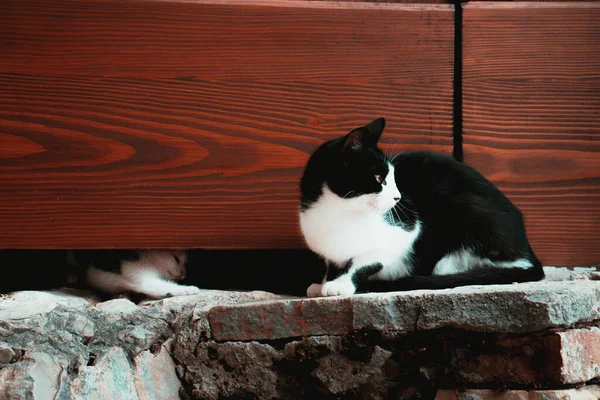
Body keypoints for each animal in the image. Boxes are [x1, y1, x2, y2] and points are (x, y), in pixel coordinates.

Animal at [69, 250, 202, 300]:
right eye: (176, 259)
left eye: (186, 263)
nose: (184, 272)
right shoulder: (140, 277)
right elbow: (164, 287)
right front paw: (189, 289)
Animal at [298, 117, 544, 296]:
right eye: (379, 179)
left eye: (393, 178)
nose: (398, 198)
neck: (340, 212)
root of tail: (528, 249)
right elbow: (332, 263)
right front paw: (323, 282)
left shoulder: (406, 230)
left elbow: (367, 259)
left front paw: (340, 283)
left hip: (466, 211)